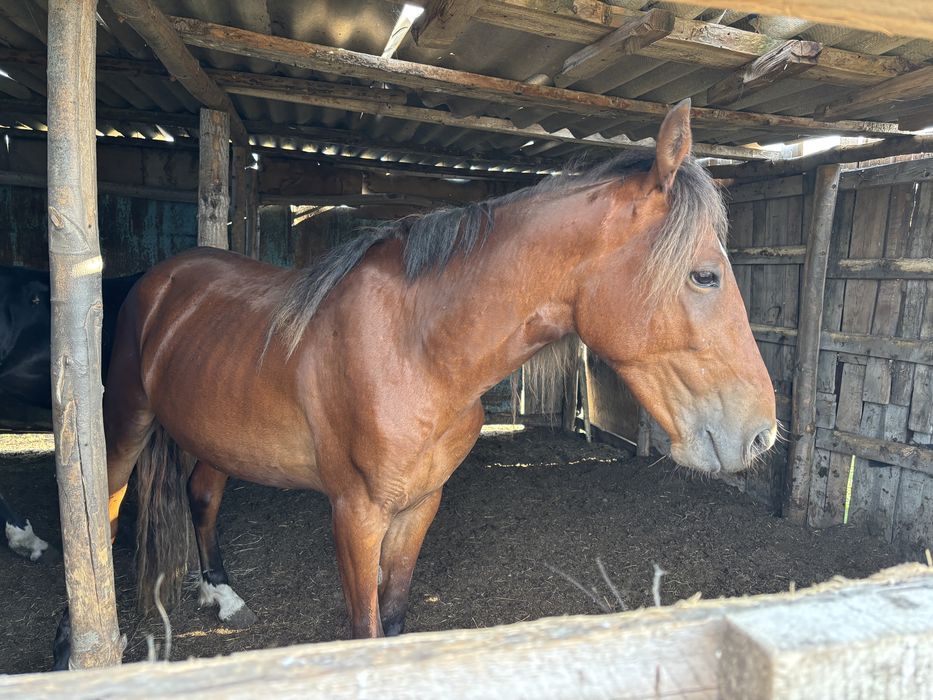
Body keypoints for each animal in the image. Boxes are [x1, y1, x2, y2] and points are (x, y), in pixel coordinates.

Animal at [57, 101, 776, 662]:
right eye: (706, 275)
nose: (761, 434)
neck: (414, 350)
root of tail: (160, 279)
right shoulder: (356, 514)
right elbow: (365, 630)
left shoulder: (420, 505)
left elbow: (396, 617)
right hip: (124, 424)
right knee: (103, 516)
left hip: (216, 435)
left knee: (202, 496)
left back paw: (221, 592)